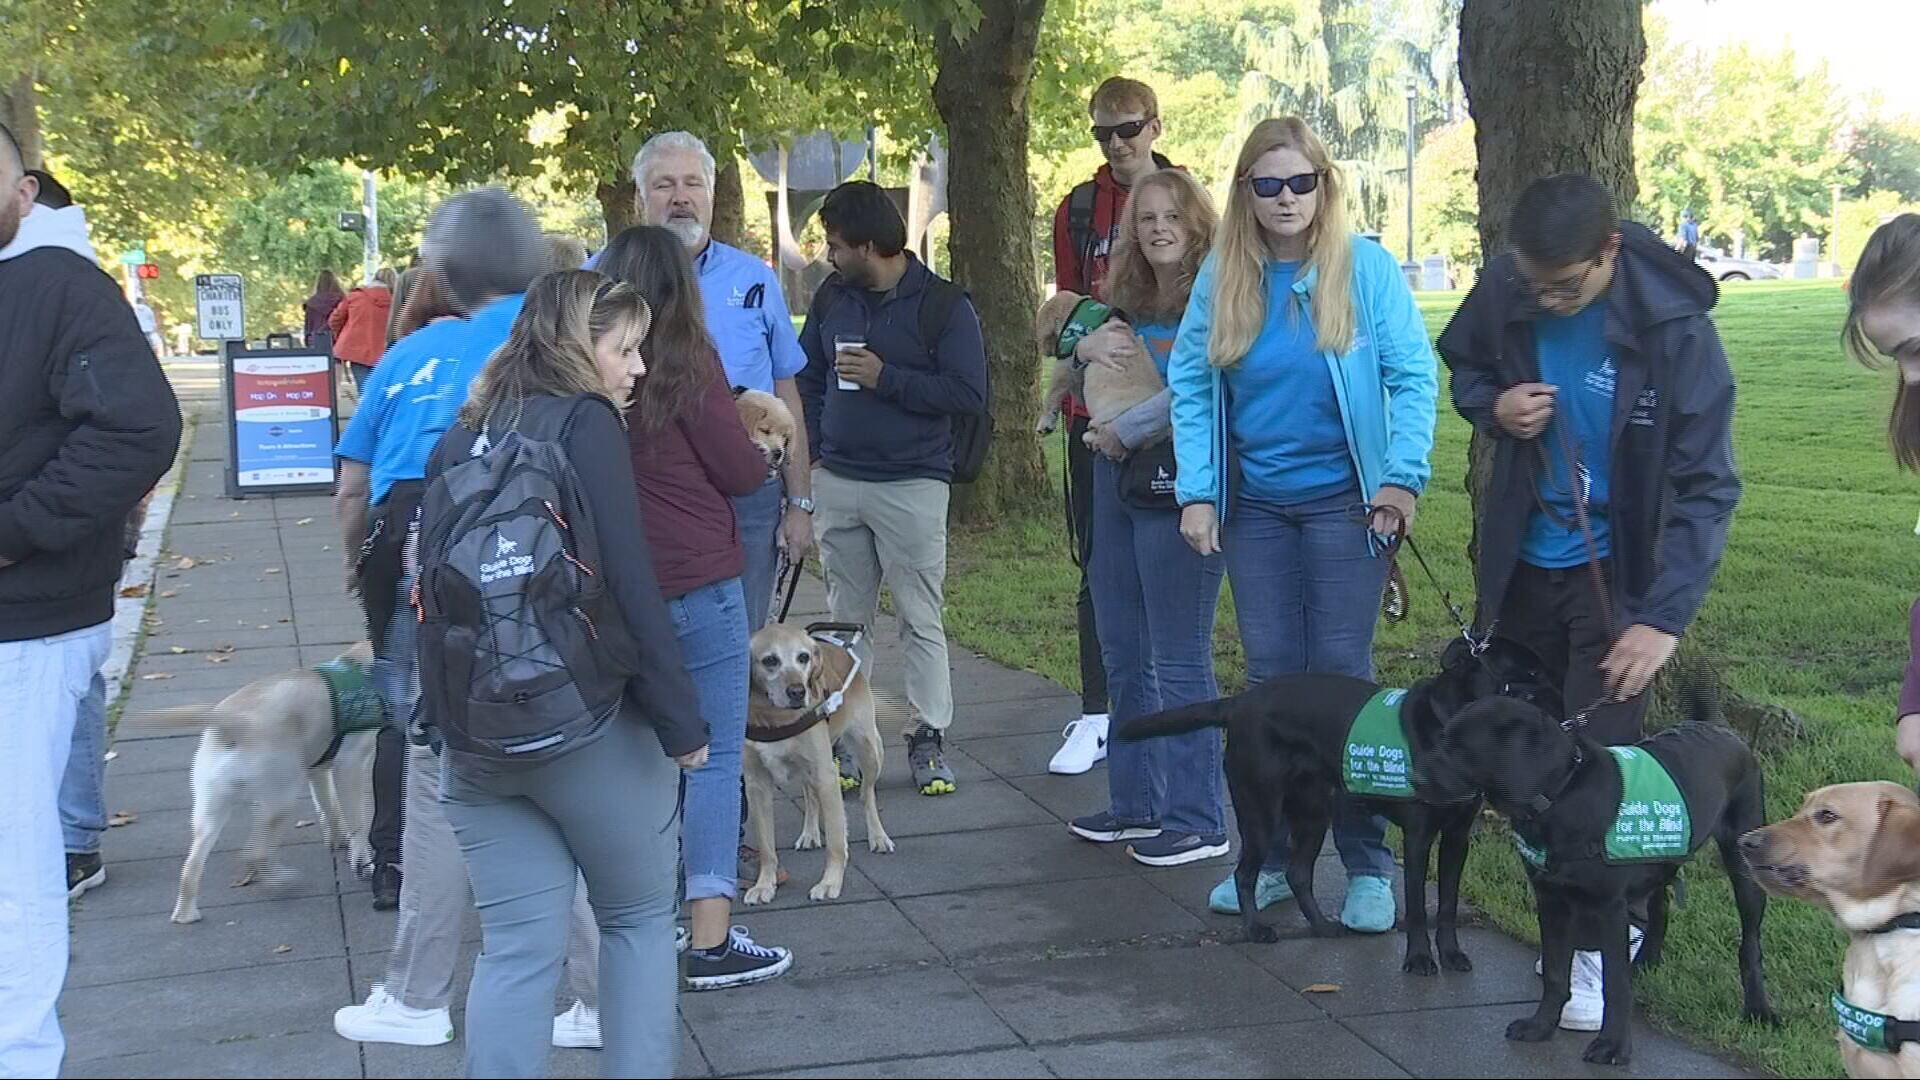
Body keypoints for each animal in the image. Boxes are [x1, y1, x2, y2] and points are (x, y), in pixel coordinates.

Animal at [741, 622, 890, 899]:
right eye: (770, 660)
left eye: (803, 657)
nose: (798, 691)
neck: (774, 718)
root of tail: (841, 647)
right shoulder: (757, 783)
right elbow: (767, 847)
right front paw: (764, 884)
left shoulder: (826, 775)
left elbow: (835, 841)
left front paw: (830, 883)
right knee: (810, 797)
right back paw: (809, 833)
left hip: (868, 750)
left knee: (867, 795)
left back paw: (878, 837)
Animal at [1121, 634, 1551, 972]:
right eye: (1522, 681)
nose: (1553, 711)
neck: (1451, 731)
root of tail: (1241, 702)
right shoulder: (1417, 838)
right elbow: (1416, 906)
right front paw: (1418, 959)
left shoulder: (1457, 838)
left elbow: (1446, 905)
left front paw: (1451, 955)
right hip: (1260, 809)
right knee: (1246, 873)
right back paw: (1256, 929)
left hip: (1313, 811)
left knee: (1297, 872)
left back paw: (1322, 927)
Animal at [1428, 687, 1781, 1060]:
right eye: (1444, 738)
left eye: (1460, 748)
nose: (1417, 774)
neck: (1560, 793)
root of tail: (1718, 727)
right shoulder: (1551, 899)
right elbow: (1555, 972)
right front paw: (1541, 1026)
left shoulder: (1609, 907)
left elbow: (1615, 983)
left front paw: (1612, 1045)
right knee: (1660, 907)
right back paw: (1647, 961)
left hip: (1744, 867)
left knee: (1750, 944)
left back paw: (1758, 1010)